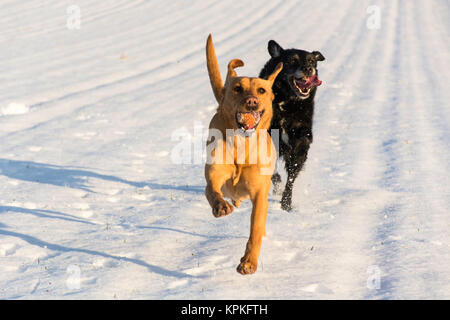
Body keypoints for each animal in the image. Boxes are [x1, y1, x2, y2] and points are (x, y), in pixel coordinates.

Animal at [206, 35, 284, 276]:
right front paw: (220, 206)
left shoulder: (259, 194)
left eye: (261, 90)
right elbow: (212, 191)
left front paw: (249, 262)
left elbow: (256, 230)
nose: (251, 101)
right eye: (238, 88)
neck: (242, 147)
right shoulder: (214, 175)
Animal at [260, 40, 324, 211]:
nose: (308, 69)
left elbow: (293, 171)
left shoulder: (302, 135)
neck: (287, 103)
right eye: (292, 61)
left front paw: (286, 202)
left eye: (311, 61)